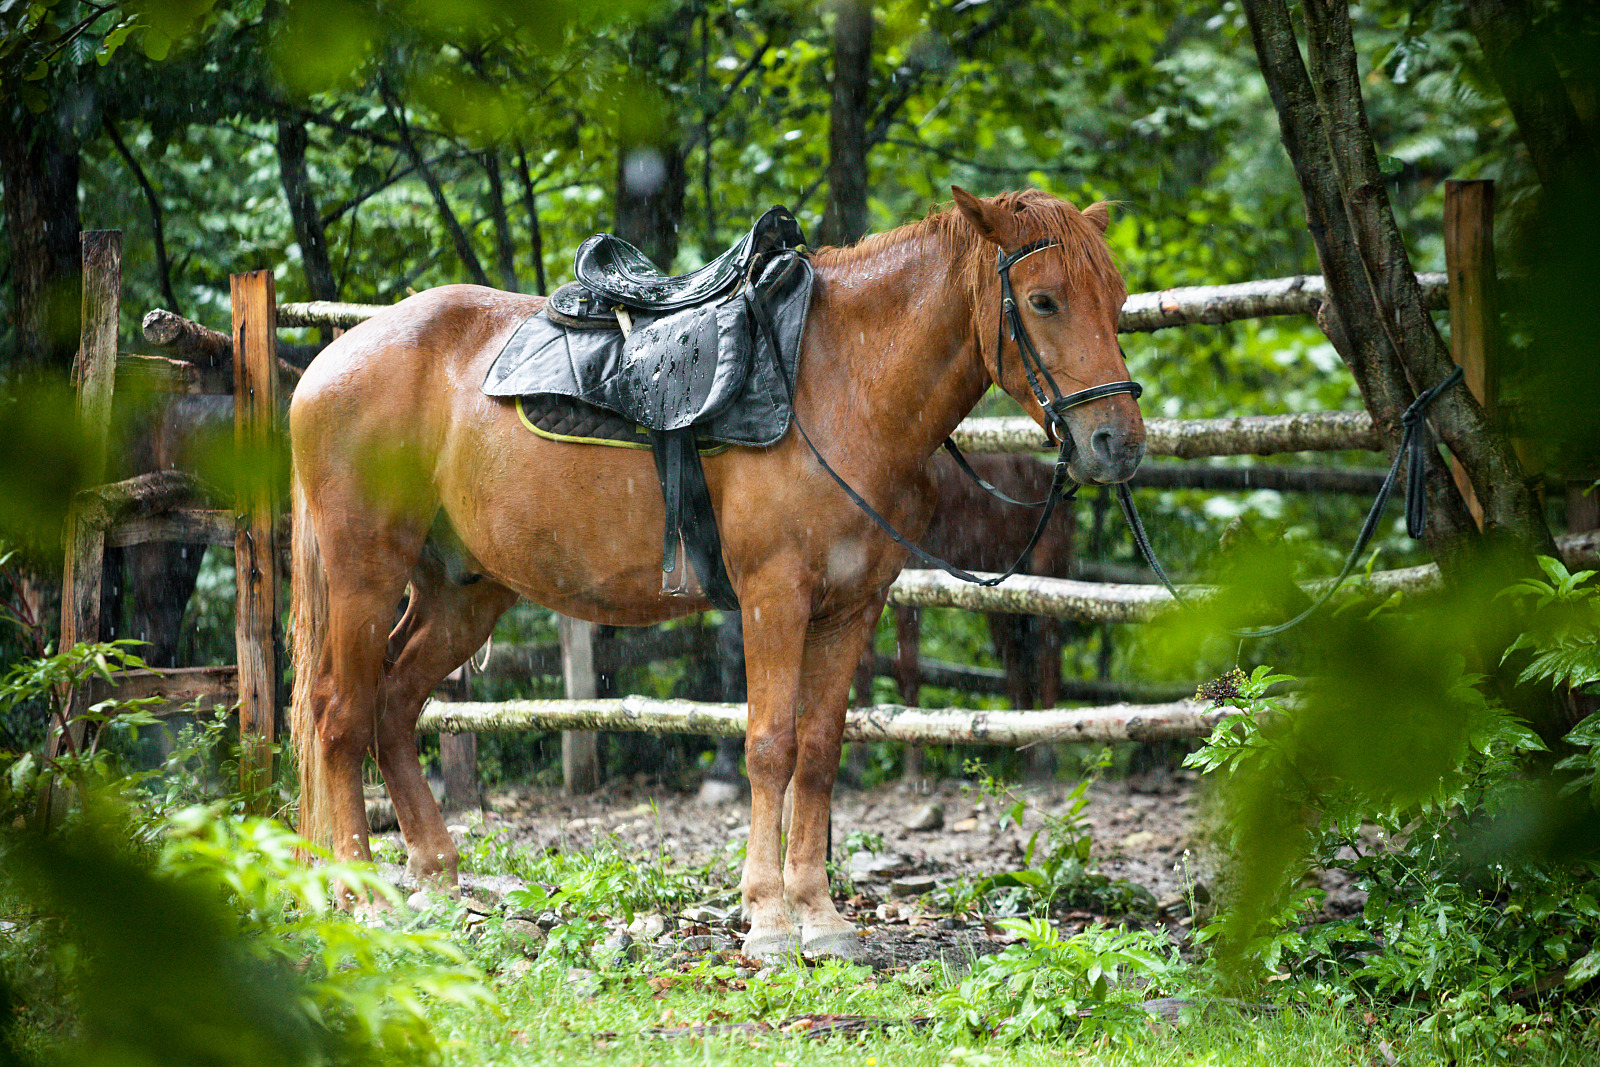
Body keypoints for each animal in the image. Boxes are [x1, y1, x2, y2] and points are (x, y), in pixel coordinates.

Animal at [284, 185, 1139, 959]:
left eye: (1117, 297)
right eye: (1044, 300)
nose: (1117, 443)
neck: (841, 384)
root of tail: (327, 361)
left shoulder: (853, 606)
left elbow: (819, 750)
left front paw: (821, 916)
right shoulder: (773, 596)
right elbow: (769, 745)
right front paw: (768, 918)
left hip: (461, 593)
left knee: (394, 704)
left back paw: (431, 878)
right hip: (365, 574)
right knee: (338, 714)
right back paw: (358, 893)